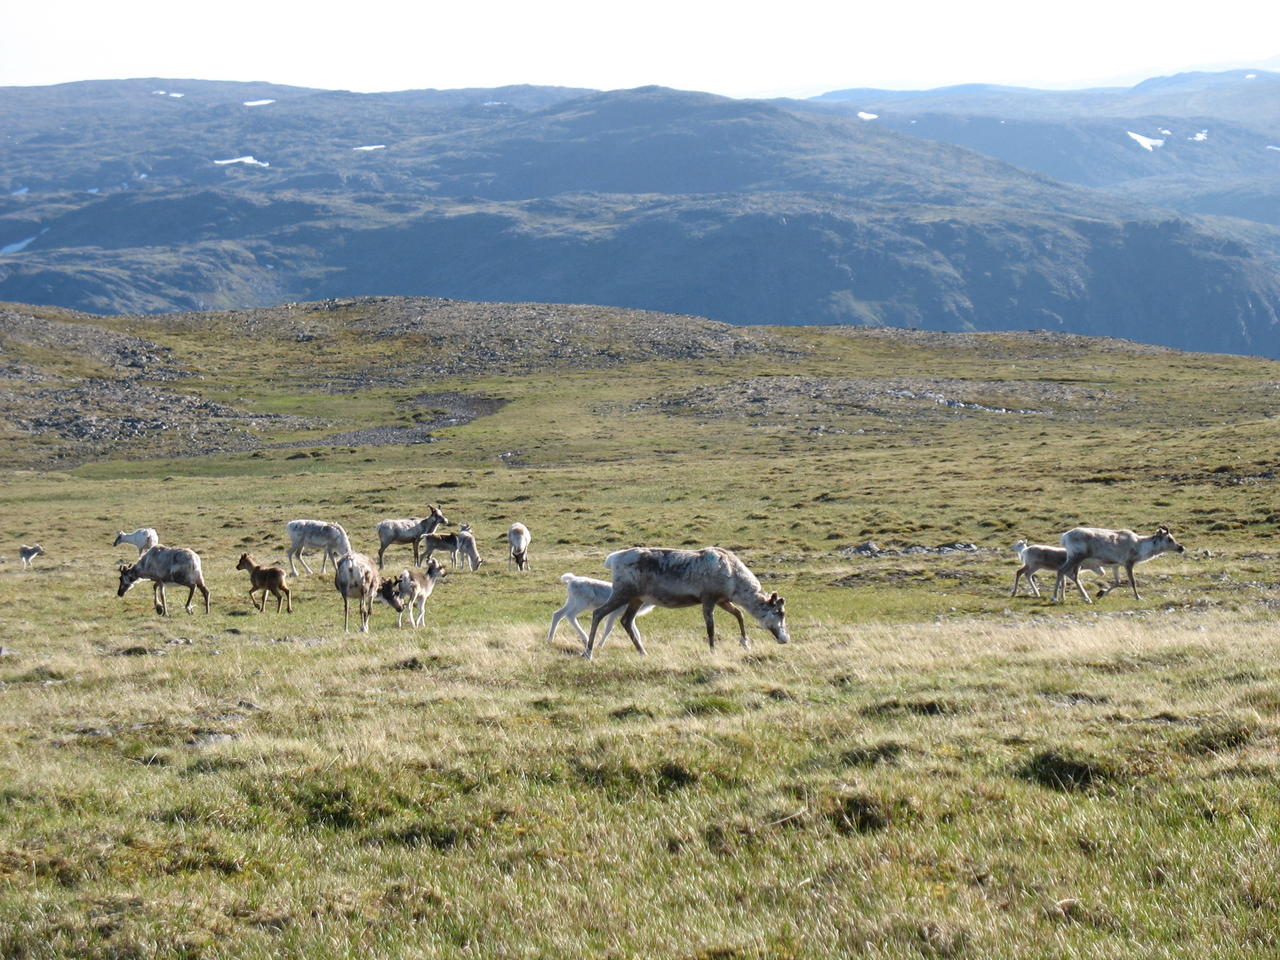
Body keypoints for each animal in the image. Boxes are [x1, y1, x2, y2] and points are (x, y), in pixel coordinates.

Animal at [585, 546, 788, 659]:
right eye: (779, 612)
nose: (785, 638)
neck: (734, 580)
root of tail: (611, 559)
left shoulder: (722, 600)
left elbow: (739, 615)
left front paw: (745, 642)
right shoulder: (708, 598)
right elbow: (711, 628)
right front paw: (713, 651)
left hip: (637, 598)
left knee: (626, 620)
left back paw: (643, 652)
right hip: (623, 592)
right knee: (598, 613)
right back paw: (588, 652)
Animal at [1052, 525, 1186, 604]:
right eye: (1169, 539)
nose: (1181, 548)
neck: (1140, 546)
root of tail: (1064, 537)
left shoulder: (1115, 565)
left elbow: (1117, 582)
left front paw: (1101, 593)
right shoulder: (1128, 563)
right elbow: (1132, 581)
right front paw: (1138, 597)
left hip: (1077, 560)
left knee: (1073, 576)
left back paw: (1085, 598)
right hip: (1076, 557)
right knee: (1062, 571)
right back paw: (1055, 598)